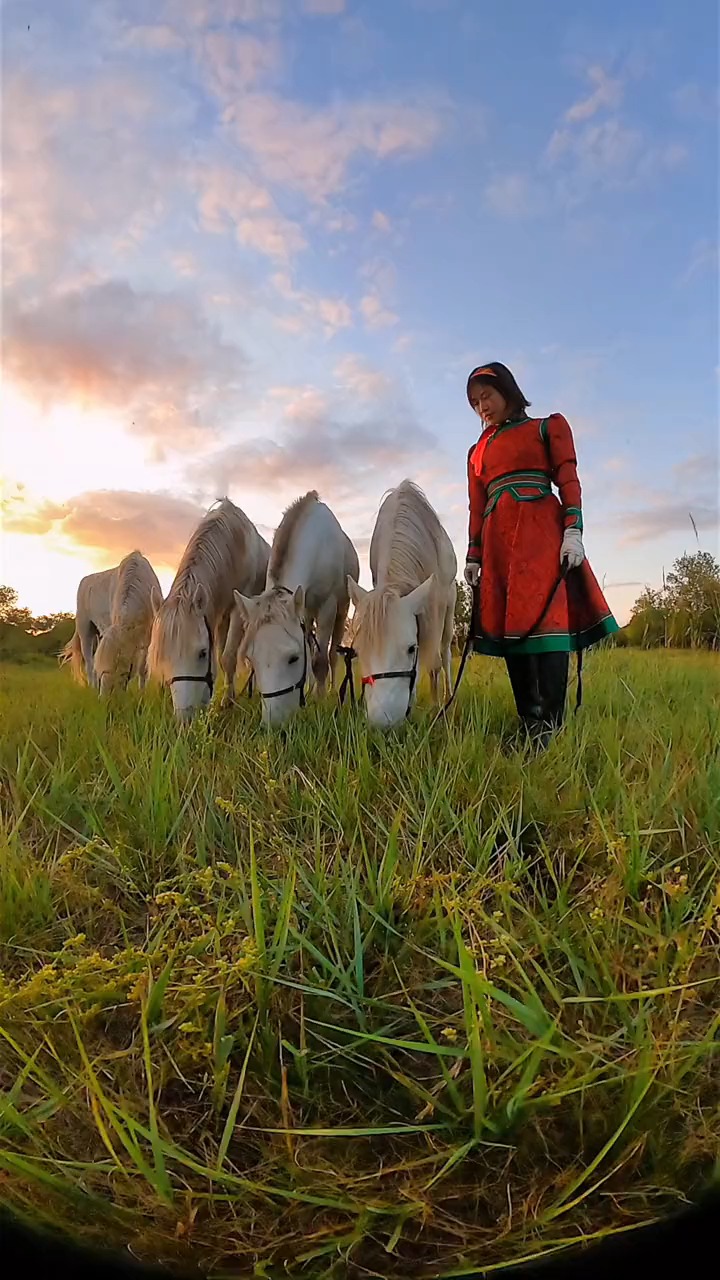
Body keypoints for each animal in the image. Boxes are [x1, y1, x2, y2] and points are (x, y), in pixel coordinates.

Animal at [59, 550, 159, 691]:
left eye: (122, 669)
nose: (104, 696)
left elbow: (143, 669)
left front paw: (142, 692)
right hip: (84, 629)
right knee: (89, 661)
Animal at [147, 496, 269, 721]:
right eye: (163, 656)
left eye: (202, 653)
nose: (184, 719)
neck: (234, 543)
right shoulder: (219, 616)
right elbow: (221, 657)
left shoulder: (237, 609)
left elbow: (228, 657)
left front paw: (227, 702)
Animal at [229, 488, 358, 727]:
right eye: (252, 660)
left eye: (293, 658)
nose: (273, 725)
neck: (317, 544)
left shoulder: (327, 607)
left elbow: (319, 661)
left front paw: (320, 703)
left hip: (341, 611)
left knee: (332, 656)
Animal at [345, 481, 453, 732]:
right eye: (358, 651)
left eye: (412, 649)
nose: (383, 725)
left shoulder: (437, 602)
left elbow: (435, 663)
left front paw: (436, 708)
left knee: (445, 654)